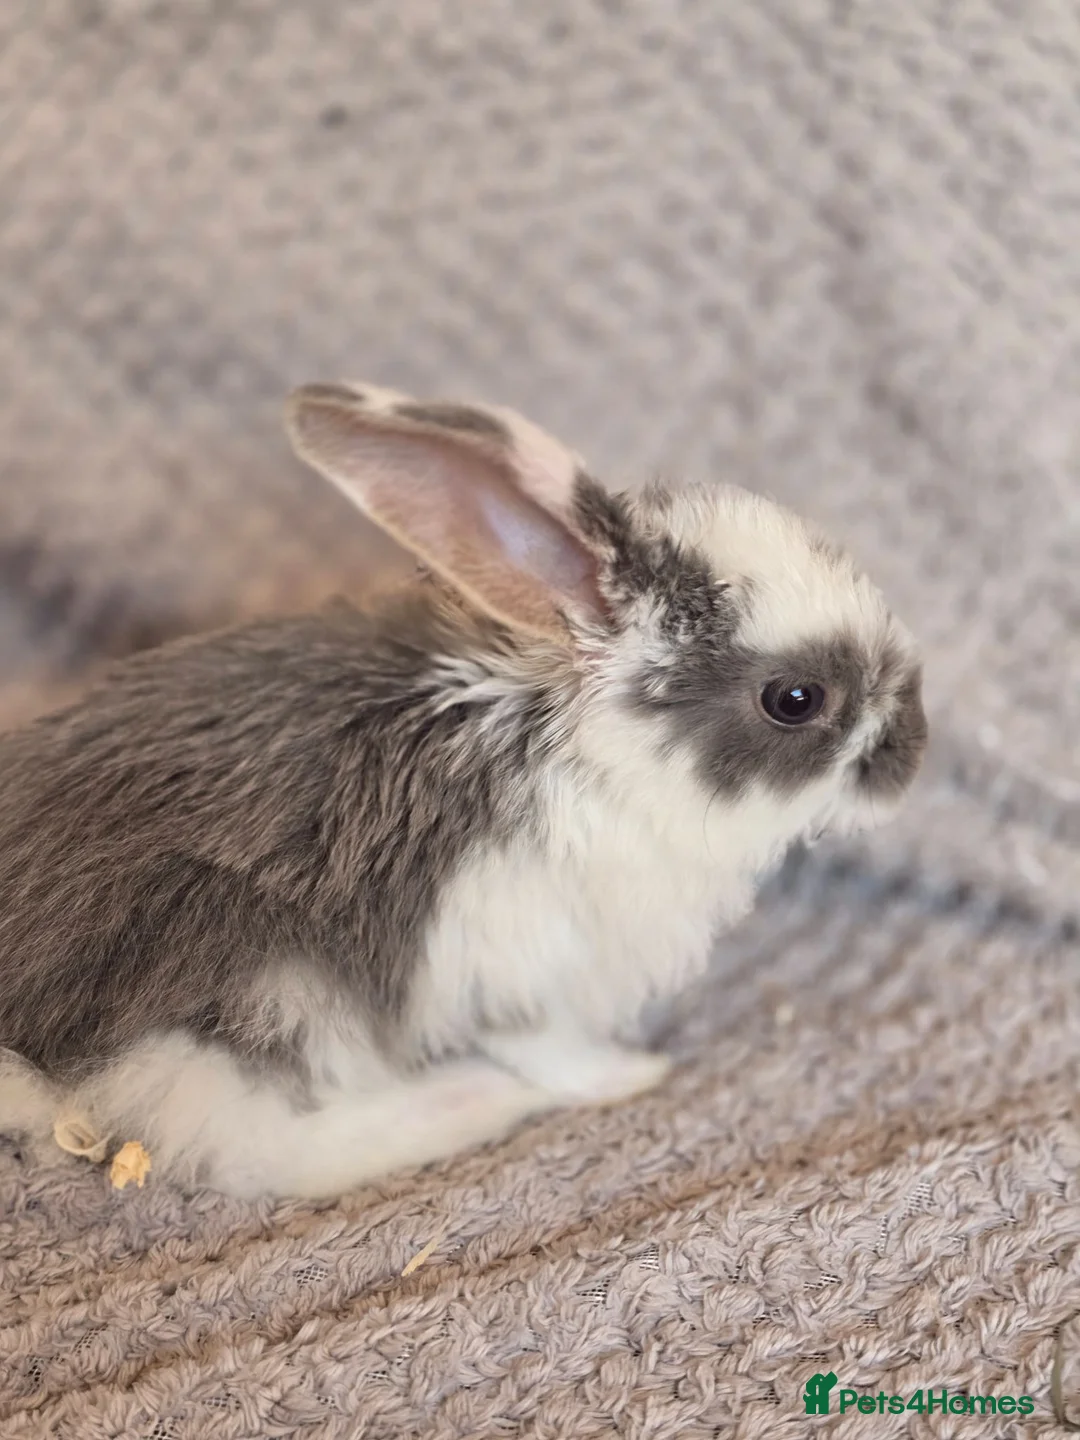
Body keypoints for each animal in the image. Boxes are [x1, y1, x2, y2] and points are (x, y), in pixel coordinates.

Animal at [0, 382, 927, 1200]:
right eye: (795, 699)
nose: (913, 756)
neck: (594, 754)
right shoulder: (512, 956)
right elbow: (551, 1048)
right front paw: (634, 1074)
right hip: (256, 989)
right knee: (252, 1146)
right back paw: (474, 1101)